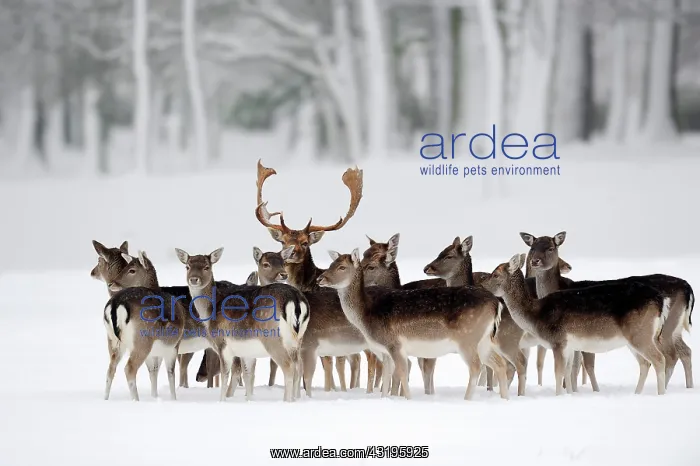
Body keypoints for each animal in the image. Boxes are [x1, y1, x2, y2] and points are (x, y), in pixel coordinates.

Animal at [175, 247, 310, 402]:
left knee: (288, 367)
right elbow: (248, 375)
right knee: (299, 366)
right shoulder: (247, 350)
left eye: (206, 267)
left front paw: (222, 400)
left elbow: (225, 375)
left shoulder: (222, 344)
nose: (193, 279)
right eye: (187, 266)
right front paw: (248, 400)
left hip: (272, 338)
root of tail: (295, 299)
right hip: (297, 340)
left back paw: (286, 401)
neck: (209, 312)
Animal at [317, 248, 511, 401]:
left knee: (476, 366)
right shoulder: (384, 350)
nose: (320, 278)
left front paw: (408, 400)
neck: (366, 316)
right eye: (331, 264)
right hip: (484, 340)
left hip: (468, 338)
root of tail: (496, 303)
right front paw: (384, 399)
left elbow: (402, 373)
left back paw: (467, 399)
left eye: (342, 267)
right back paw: (505, 399)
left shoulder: (395, 344)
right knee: (499, 364)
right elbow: (387, 376)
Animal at [482, 253, 670, 396]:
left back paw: (660, 394)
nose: (482, 286)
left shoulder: (558, 341)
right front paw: (569, 395)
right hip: (633, 338)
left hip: (641, 334)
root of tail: (661, 300)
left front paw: (558, 396)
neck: (536, 315)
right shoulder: (570, 345)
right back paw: (637, 393)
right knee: (645, 363)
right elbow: (568, 372)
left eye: (496, 274)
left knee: (660, 359)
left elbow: (558, 373)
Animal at [521, 231, 694, 390]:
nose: (535, 261)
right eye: (532, 248)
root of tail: (688, 289)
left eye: (551, 248)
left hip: (665, 329)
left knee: (670, 355)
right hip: (675, 329)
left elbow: (580, 366)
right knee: (685, 351)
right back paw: (688, 386)